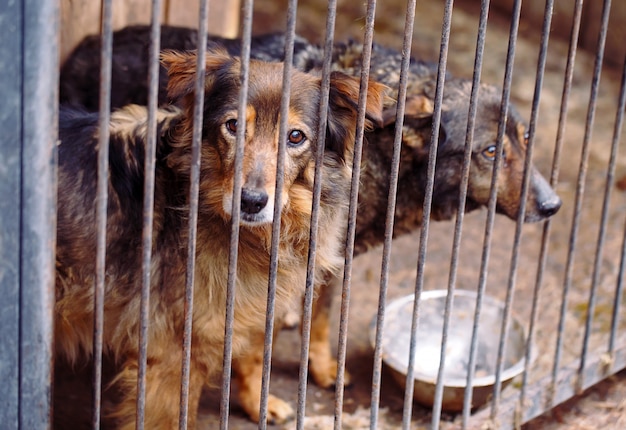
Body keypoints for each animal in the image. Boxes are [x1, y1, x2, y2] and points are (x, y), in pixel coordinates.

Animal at [54, 48, 386, 428]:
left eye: (296, 137)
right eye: (234, 126)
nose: (252, 201)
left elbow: (253, 356)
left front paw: (258, 403)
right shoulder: (170, 354)